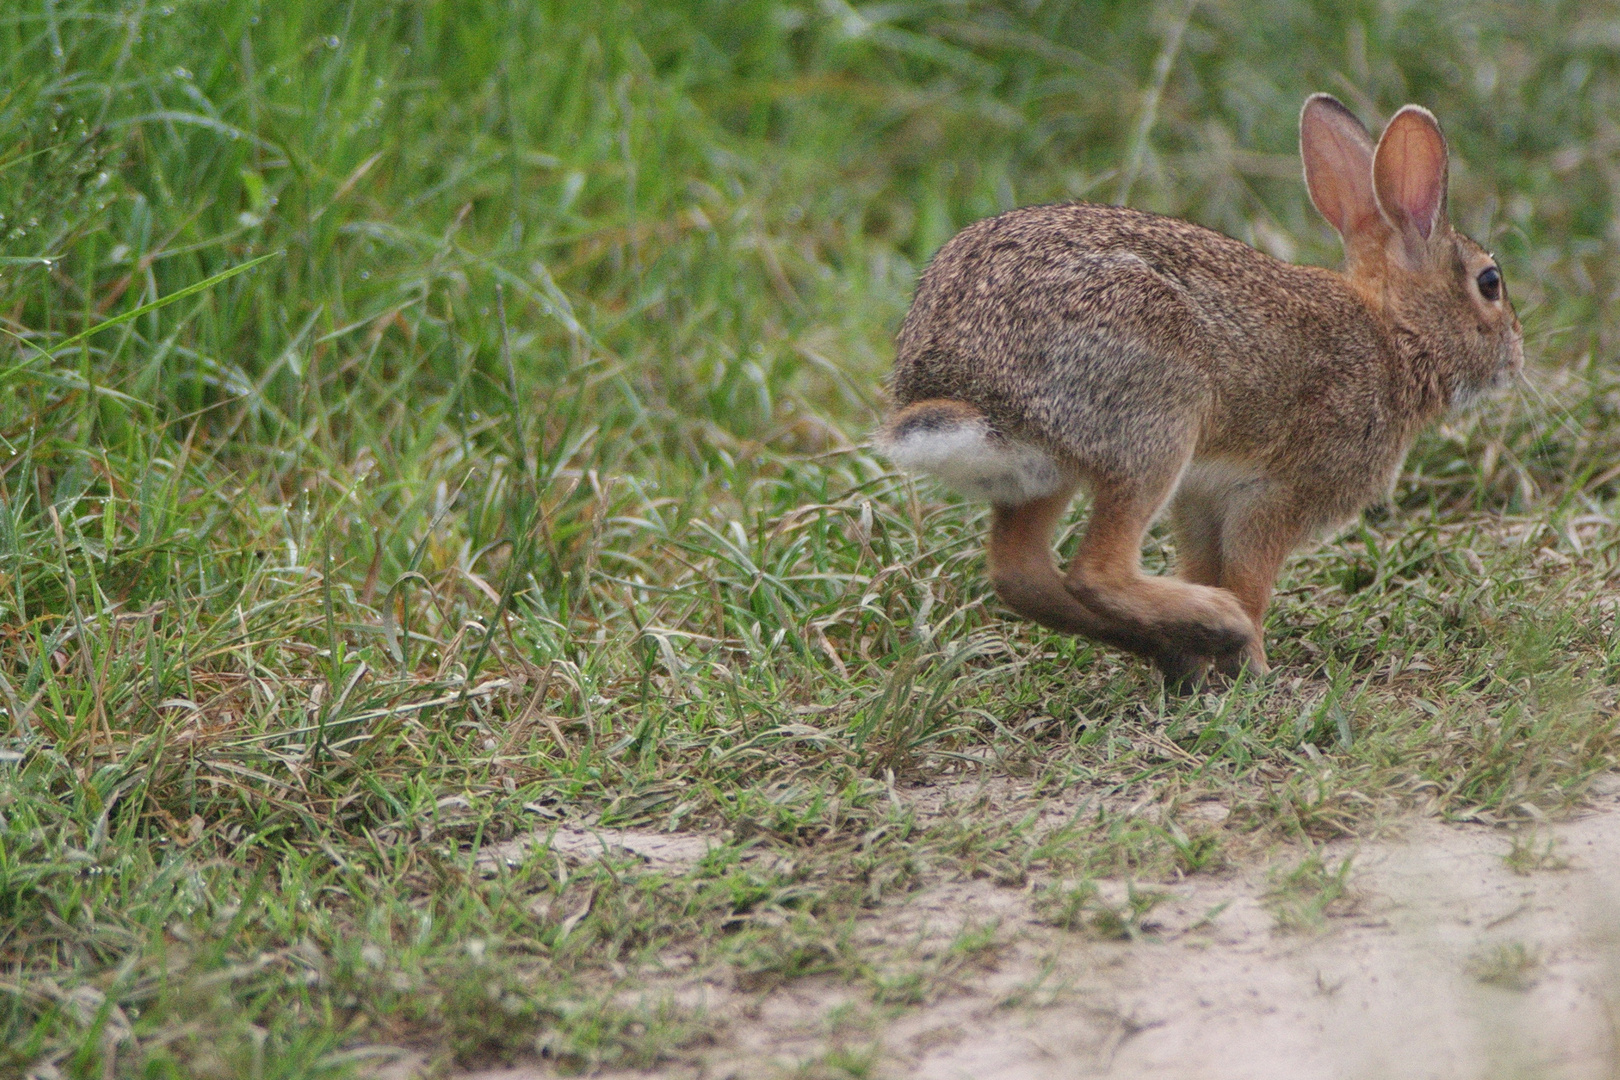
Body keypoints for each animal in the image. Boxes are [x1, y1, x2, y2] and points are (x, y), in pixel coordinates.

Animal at [874, 90, 1516, 683]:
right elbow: (1251, 579)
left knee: (1020, 573)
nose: (1516, 356)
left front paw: (1215, 665)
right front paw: (1253, 663)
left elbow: (1207, 560)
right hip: (1155, 422)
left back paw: (1175, 645)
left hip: (1048, 472)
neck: (1396, 335)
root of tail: (957, 383)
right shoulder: (1278, 494)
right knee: (1096, 572)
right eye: (1489, 283)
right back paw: (1217, 623)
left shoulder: (1203, 499)